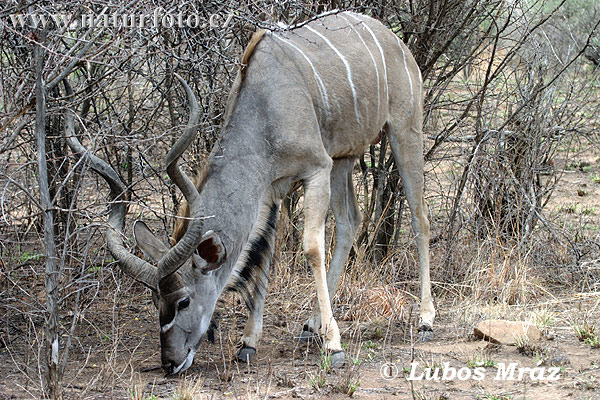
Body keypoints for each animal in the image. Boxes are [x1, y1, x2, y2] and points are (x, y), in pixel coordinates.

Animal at [68, 10, 434, 374]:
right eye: (155, 298)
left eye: (184, 301)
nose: (170, 362)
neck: (265, 106)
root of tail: (395, 41)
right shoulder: (271, 189)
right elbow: (266, 252)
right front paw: (248, 343)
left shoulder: (317, 168)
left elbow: (312, 247)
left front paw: (334, 347)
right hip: (345, 156)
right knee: (350, 222)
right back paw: (312, 325)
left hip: (404, 131)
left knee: (419, 219)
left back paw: (425, 321)